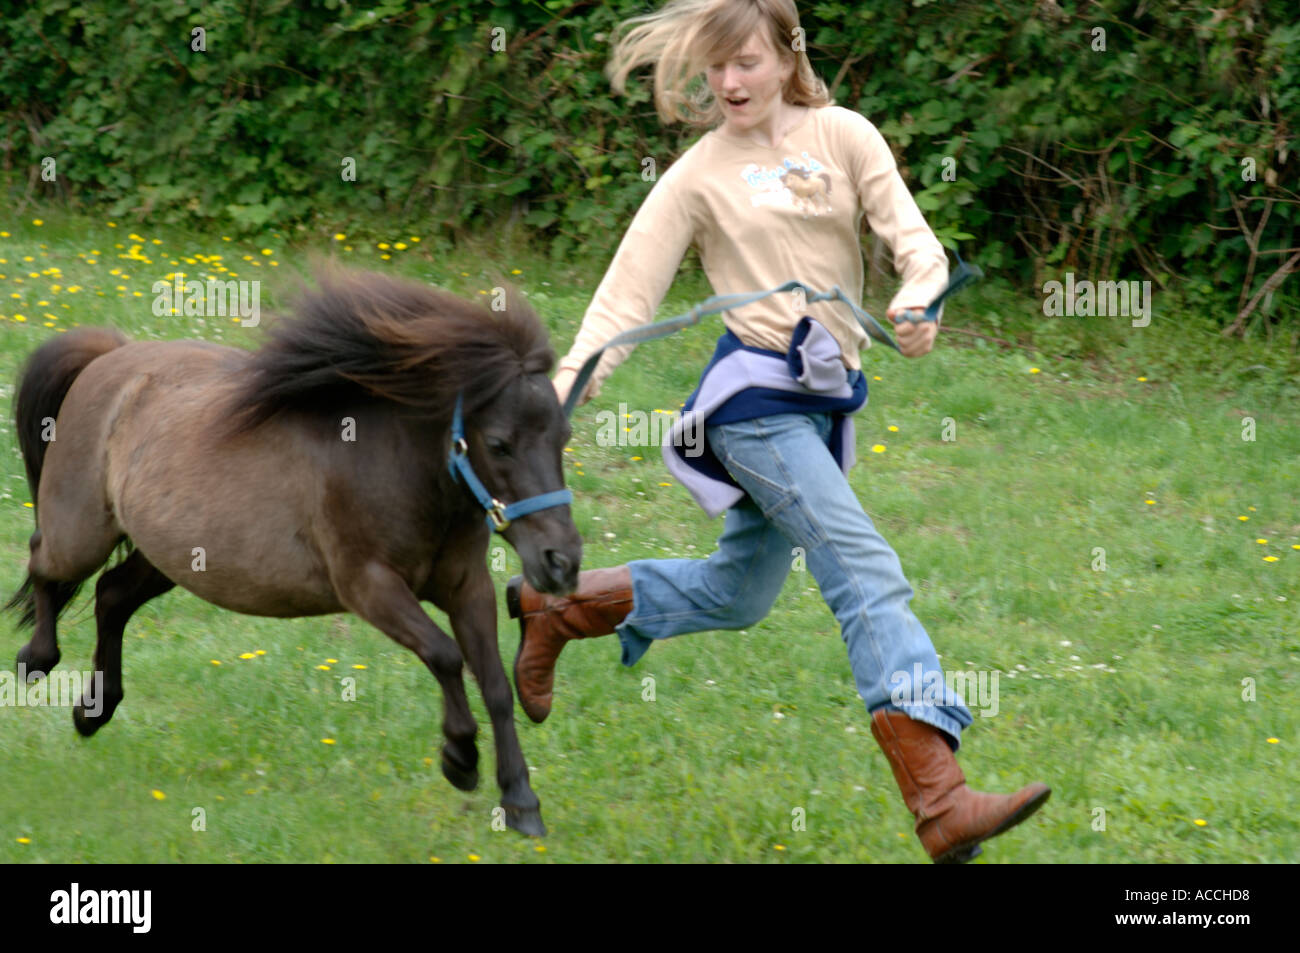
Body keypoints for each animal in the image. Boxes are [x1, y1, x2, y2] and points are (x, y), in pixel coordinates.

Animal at [3, 262, 585, 832]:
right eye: (499, 445)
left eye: (563, 437)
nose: (561, 562)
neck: (397, 463)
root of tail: (111, 356)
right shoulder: (368, 585)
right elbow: (444, 656)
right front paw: (460, 758)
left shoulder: (467, 587)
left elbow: (496, 683)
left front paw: (520, 800)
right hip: (82, 533)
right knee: (45, 562)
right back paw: (37, 660)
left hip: (172, 556)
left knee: (111, 594)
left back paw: (94, 710)